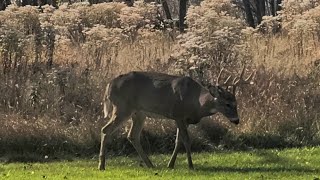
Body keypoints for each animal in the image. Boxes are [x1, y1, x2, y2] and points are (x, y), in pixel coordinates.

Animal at [99, 67, 254, 170]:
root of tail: (108, 86)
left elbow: (178, 141)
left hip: (139, 113)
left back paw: (150, 164)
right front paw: (191, 165)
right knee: (105, 130)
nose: (236, 120)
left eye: (236, 103)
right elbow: (186, 140)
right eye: (227, 104)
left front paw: (171, 164)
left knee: (132, 135)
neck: (196, 102)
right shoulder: (178, 114)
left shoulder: (184, 120)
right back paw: (102, 165)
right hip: (122, 107)